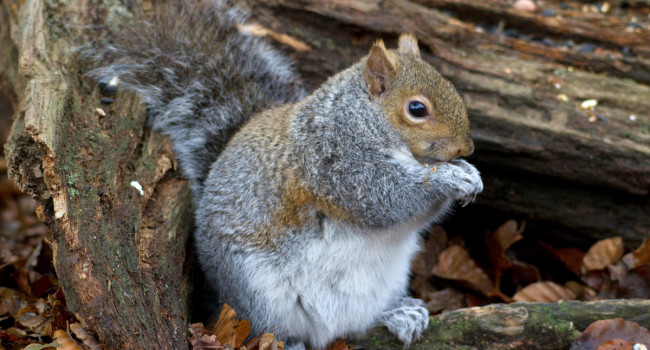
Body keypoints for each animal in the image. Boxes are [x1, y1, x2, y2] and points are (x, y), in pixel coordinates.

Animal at [87, 1, 480, 348]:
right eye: (417, 109)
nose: (466, 149)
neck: (361, 119)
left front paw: (469, 174)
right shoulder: (336, 164)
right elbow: (387, 200)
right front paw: (448, 178)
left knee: (358, 325)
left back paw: (399, 314)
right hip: (258, 295)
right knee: (266, 331)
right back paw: (289, 343)